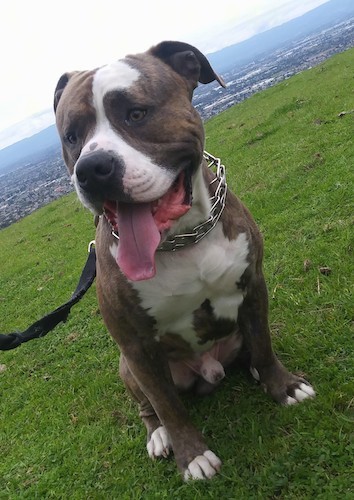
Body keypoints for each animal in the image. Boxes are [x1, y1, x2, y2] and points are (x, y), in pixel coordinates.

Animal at [53, 42, 316, 480]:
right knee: (149, 407)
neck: (181, 241)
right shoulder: (136, 346)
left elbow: (263, 345)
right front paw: (191, 455)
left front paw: (284, 386)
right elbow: (168, 406)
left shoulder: (254, 286)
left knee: (249, 348)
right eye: (72, 136)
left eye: (136, 113)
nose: (91, 169)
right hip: (127, 367)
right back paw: (159, 437)